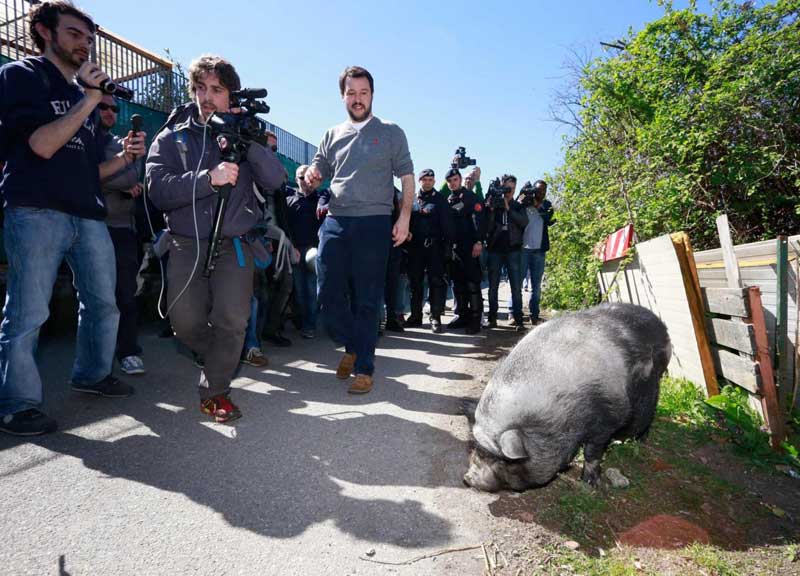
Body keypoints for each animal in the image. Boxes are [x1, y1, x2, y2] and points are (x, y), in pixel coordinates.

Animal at [463, 302, 671, 492]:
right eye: (475, 448)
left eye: (500, 460)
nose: (467, 479)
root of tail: (660, 325)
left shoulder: (607, 418)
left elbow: (593, 451)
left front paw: (590, 484)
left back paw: (640, 440)